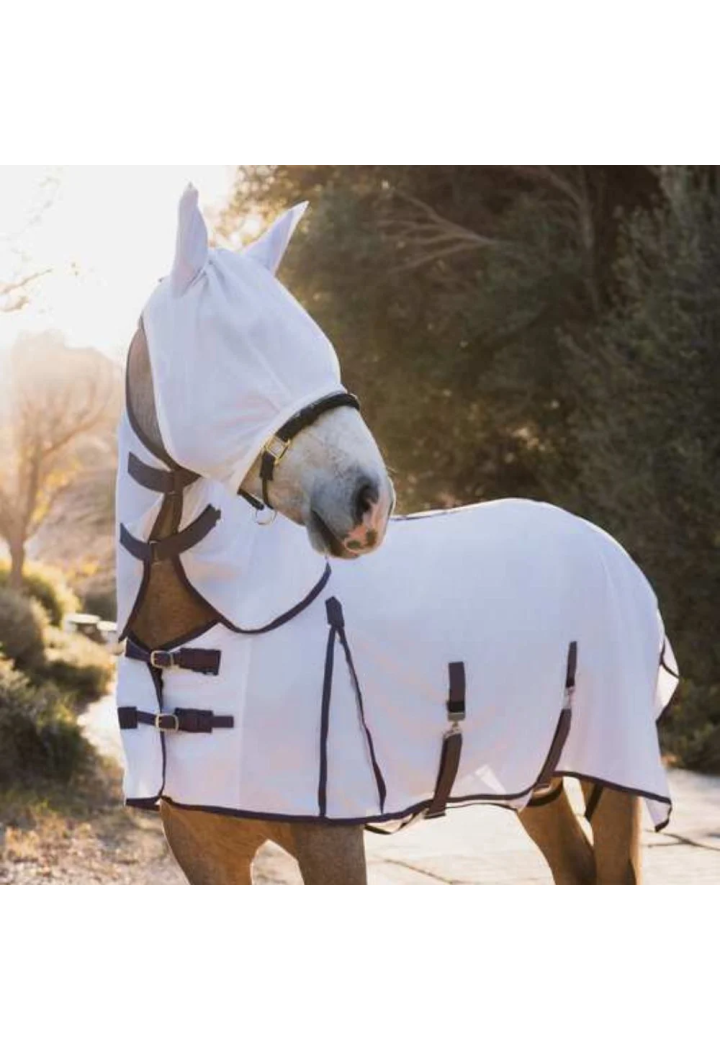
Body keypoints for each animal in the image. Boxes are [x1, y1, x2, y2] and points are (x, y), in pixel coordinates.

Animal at [116, 186, 677, 884]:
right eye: (234, 347)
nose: (369, 501)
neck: (209, 620)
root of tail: (601, 541)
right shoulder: (201, 850)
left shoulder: (331, 841)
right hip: (537, 776)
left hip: (614, 770)